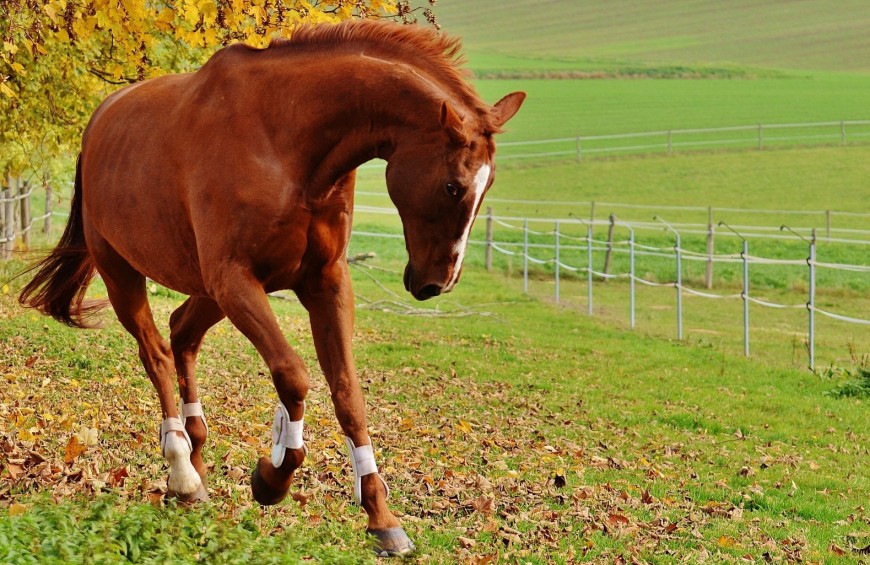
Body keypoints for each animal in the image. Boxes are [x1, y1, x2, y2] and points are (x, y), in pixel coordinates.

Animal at [18, 19, 524, 557]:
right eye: (454, 186)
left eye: (488, 187)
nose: (436, 284)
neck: (286, 141)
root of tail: (99, 122)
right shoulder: (237, 279)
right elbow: (294, 376)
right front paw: (271, 477)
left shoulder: (324, 283)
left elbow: (349, 395)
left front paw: (381, 517)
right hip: (124, 274)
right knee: (156, 353)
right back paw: (182, 473)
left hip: (207, 292)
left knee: (181, 334)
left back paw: (196, 463)